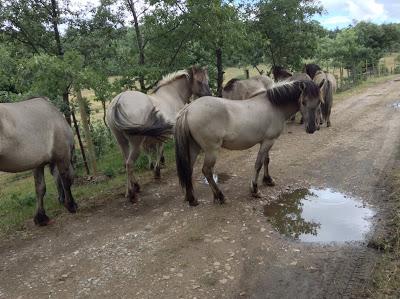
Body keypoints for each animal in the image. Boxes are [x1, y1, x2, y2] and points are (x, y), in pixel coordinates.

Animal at [0, 97, 77, 226]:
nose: (60, 200)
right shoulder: (63, 156)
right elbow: (65, 180)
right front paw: (71, 205)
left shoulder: (38, 164)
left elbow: (40, 188)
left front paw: (41, 217)